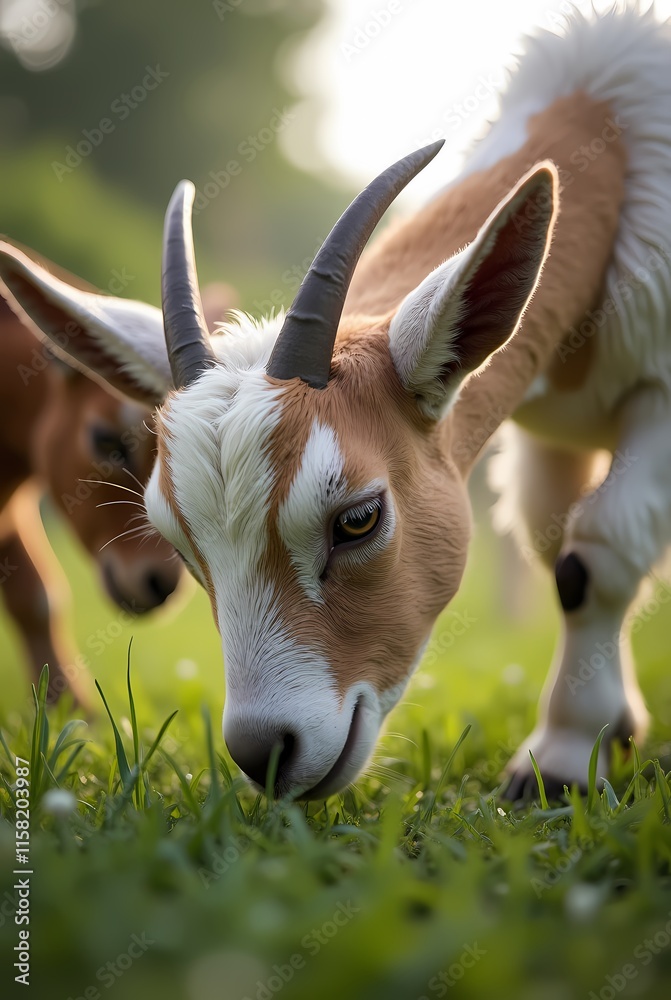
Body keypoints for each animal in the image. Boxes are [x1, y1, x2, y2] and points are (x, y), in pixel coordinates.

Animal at [1, 6, 669, 797]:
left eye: (358, 519)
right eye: (178, 538)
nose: (268, 751)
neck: (615, 124)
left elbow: (596, 553)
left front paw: (560, 765)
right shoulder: (549, 437)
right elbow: (551, 541)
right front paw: (607, 733)